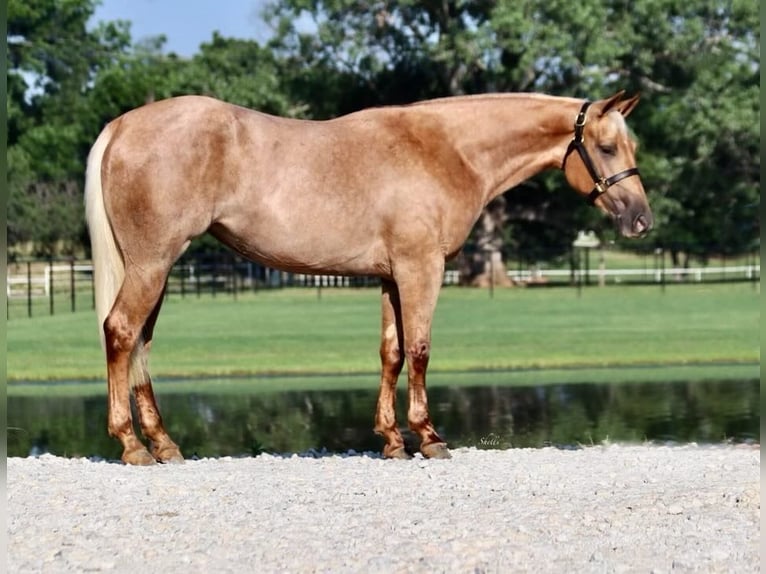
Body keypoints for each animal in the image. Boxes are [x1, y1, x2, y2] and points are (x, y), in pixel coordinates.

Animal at [85, 91, 653, 465]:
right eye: (606, 148)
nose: (641, 220)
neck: (445, 150)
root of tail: (123, 126)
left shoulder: (391, 276)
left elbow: (391, 352)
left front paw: (392, 441)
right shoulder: (422, 267)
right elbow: (419, 349)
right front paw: (429, 438)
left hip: (157, 267)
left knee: (141, 344)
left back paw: (163, 445)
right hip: (153, 263)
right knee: (121, 332)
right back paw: (132, 445)